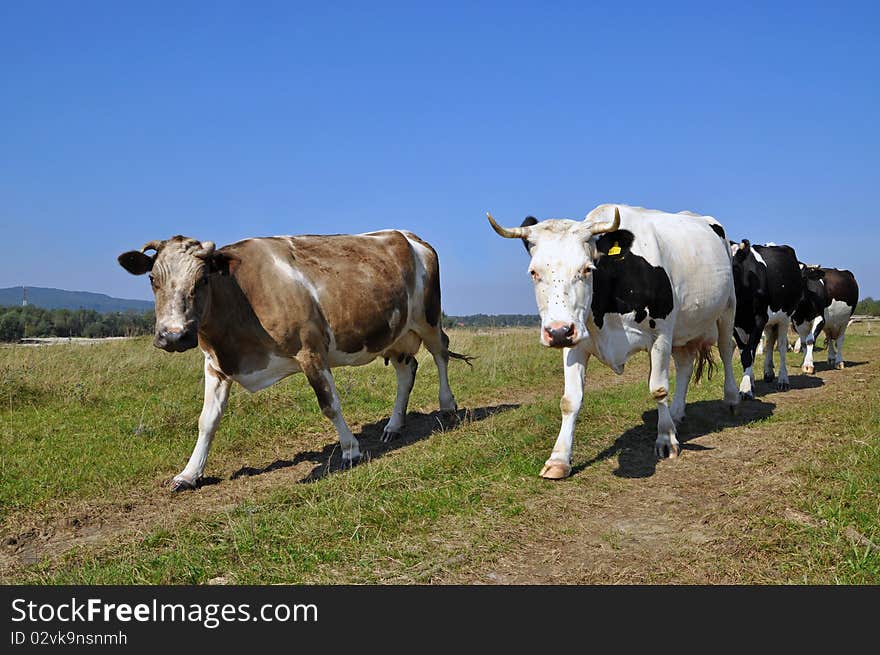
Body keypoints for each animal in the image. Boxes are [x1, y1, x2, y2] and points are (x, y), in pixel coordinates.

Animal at [122, 231, 474, 492]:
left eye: (203, 279)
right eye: (152, 278)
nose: (173, 336)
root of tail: (409, 236)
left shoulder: (311, 349)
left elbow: (330, 404)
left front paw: (350, 450)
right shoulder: (216, 365)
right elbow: (207, 421)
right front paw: (189, 474)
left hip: (428, 317)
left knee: (441, 353)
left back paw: (447, 406)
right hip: (395, 332)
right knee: (406, 370)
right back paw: (393, 426)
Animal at [488, 202, 744, 480]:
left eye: (586, 269)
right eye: (534, 272)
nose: (558, 332)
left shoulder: (661, 334)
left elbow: (658, 388)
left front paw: (665, 439)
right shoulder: (576, 342)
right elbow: (570, 400)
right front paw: (559, 459)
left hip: (727, 308)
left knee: (726, 349)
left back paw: (731, 399)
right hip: (683, 328)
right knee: (685, 366)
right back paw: (676, 414)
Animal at [728, 238, 804, 398]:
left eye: (735, 267)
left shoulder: (760, 318)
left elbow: (748, 355)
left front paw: (745, 389)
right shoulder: (736, 325)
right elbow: (746, 352)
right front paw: (750, 382)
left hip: (784, 317)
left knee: (781, 346)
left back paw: (783, 380)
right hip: (770, 322)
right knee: (769, 343)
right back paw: (768, 372)